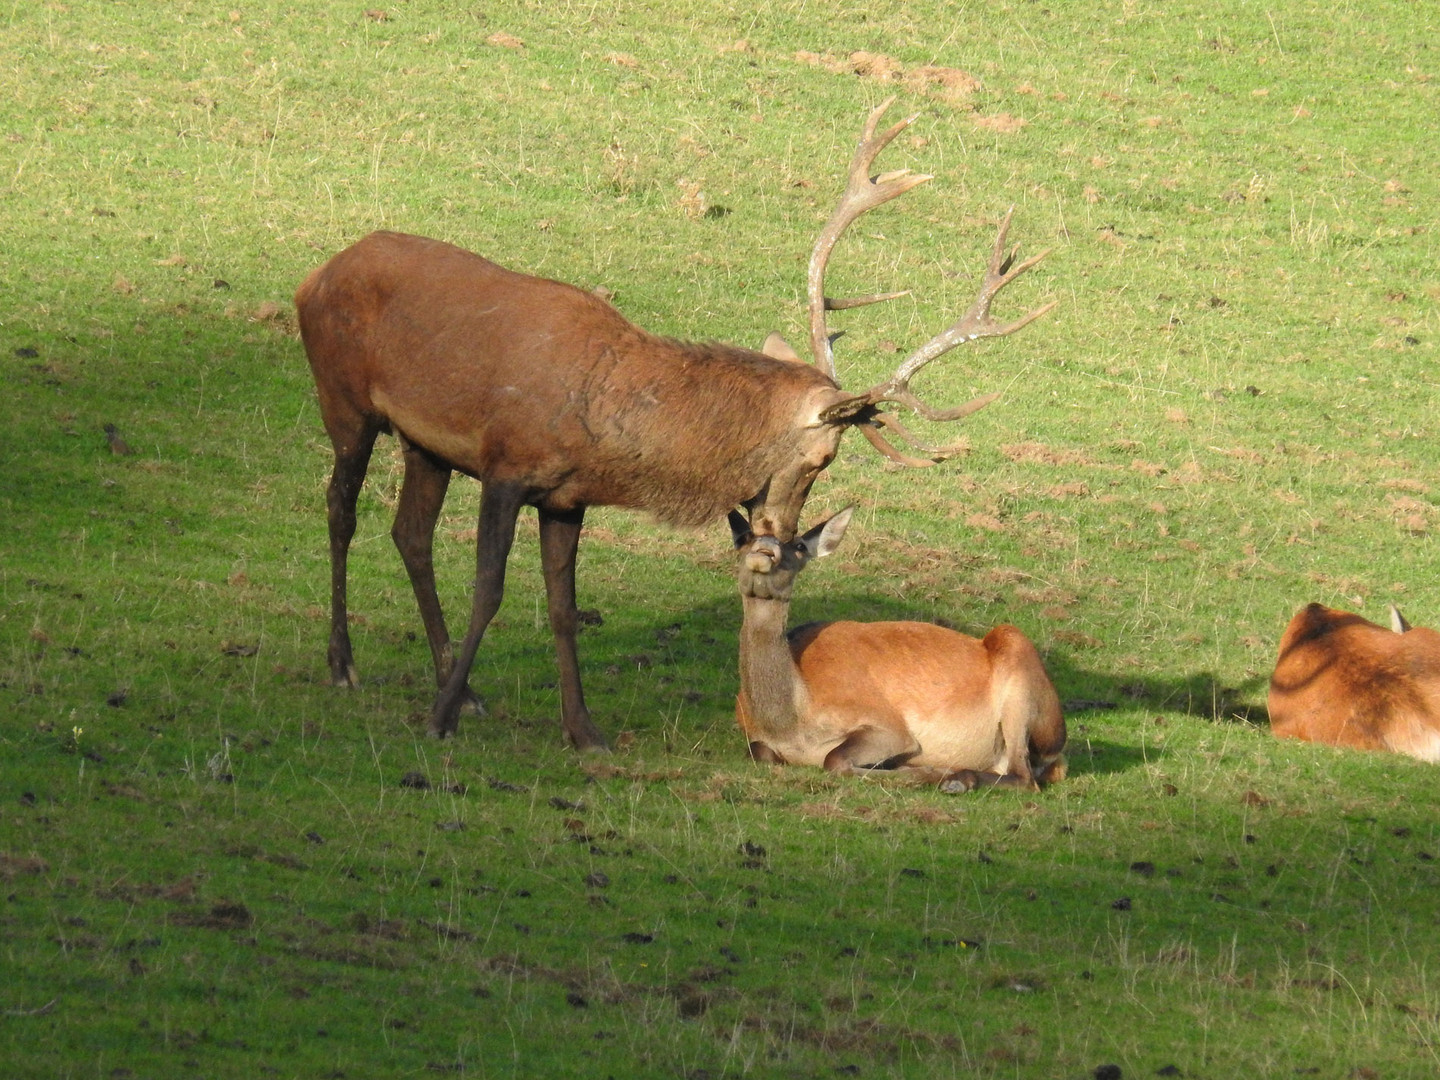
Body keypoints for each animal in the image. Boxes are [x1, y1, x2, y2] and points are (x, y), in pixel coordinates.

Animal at [295, 97, 1059, 748]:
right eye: (825, 460)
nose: (779, 535)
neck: (608, 427)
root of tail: (316, 275)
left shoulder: (565, 498)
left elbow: (563, 606)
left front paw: (582, 731)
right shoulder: (507, 467)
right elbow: (490, 589)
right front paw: (442, 717)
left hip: (424, 445)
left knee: (410, 534)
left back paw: (457, 681)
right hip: (344, 400)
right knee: (340, 509)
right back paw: (344, 663)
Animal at [725, 506, 1065, 794]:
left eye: (798, 547)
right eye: (744, 538)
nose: (763, 550)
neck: (792, 721)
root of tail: (1058, 749)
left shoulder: (887, 724)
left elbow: (833, 759)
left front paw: (931, 772)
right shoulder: (758, 739)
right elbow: (759, 751)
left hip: (1018, 669)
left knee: (1024, 776)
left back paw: (957, 779)